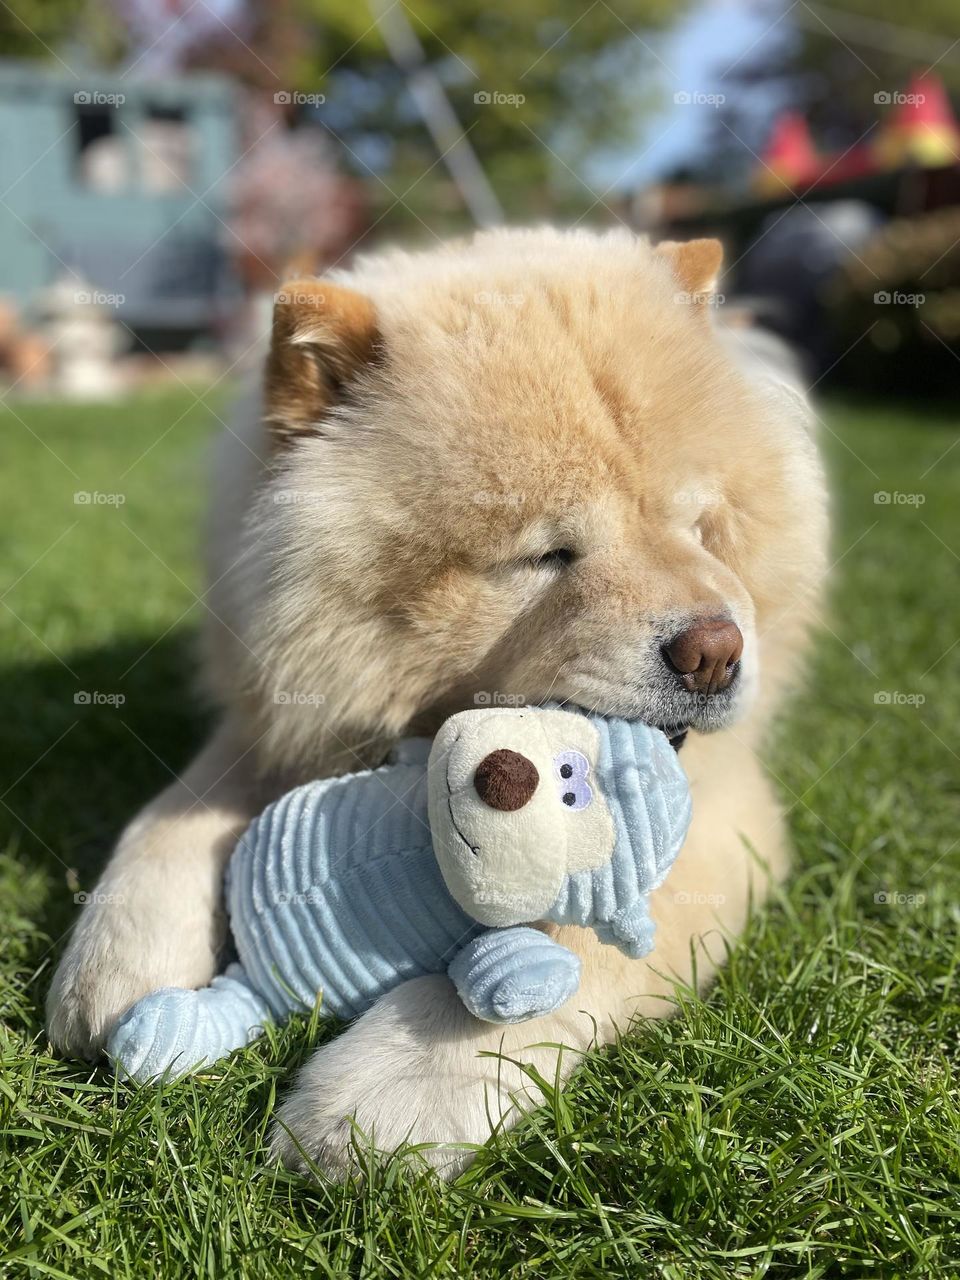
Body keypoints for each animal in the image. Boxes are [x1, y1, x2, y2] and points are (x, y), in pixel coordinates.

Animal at [45, 225, 829, 1172]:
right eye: (547, 556)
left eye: (699, 527)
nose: (715, 651)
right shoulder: (280, 721)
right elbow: (168, 820)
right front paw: (115, 961)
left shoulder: (724, 809)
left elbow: (573, 938)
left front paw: (384, 1095)